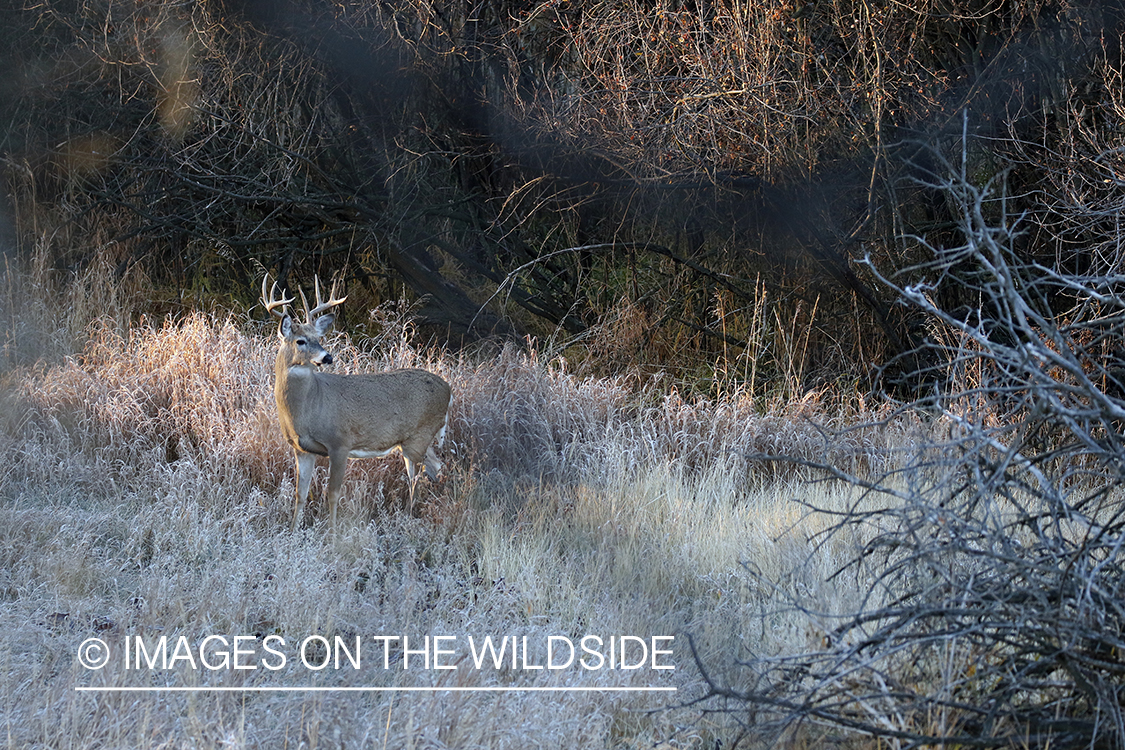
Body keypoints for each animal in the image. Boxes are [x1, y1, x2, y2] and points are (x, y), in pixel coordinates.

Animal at [261, 273, 450, 530]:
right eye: (300, 341)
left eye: (320, 338)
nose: (327, 357)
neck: (310, 407)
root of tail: (448, 389)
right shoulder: (301, 449)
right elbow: (300, 493)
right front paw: (292, 531)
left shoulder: (340, 443)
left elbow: (332, 493)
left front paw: (331, 532)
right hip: (414, 441)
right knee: (436, 467)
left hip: (419, 437)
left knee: (416, 479)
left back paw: (409, 517)